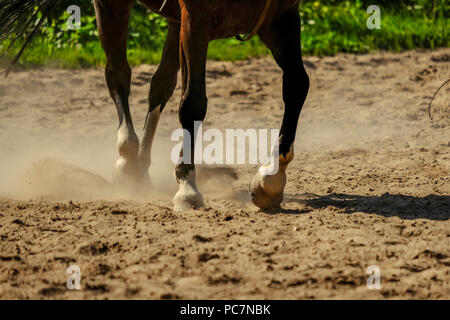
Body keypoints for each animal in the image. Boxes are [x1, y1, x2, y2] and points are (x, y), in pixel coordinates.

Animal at [2, 0, 310, 212]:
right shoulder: (196, 22)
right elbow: (193, 102)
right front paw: (187, 188)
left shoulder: (282, 18)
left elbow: (297, 85)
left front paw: (271, 179)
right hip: (114, 6)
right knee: (118, 75)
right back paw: (128, 161)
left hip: (175, 21)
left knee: (160, 84)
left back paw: (141, 163)